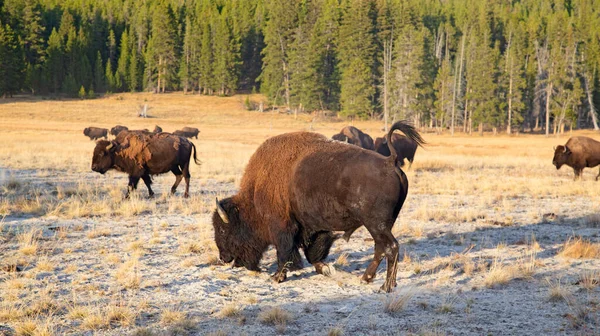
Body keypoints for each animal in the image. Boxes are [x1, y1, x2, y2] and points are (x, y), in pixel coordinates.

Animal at [213, 120, 424, 292]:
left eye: (223, 230)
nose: (223, 257)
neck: (256, 190)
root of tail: (390, 161)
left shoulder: (282, 226)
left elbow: (285, 252)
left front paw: (277, 277)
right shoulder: (314, 228)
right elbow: (311, 255)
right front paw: (326, 269)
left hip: (376, 224)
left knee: (391, 247)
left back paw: (385, 287)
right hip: (382, 225)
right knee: (381, 248)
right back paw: (366, 279)